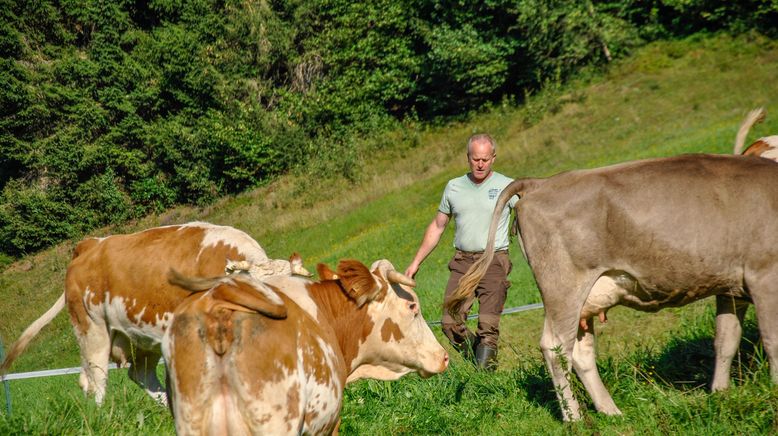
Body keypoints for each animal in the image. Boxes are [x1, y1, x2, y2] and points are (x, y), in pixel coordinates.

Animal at [446, 155, 776, 420]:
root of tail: (541, 183)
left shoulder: (729, 288)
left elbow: (726, 340)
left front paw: (720, 393)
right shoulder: (765, 274)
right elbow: (771, 339)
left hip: (585, 298)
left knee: (580, 352)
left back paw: (610, 411)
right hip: (563, 287)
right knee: (555, 347)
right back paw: (574, 418)